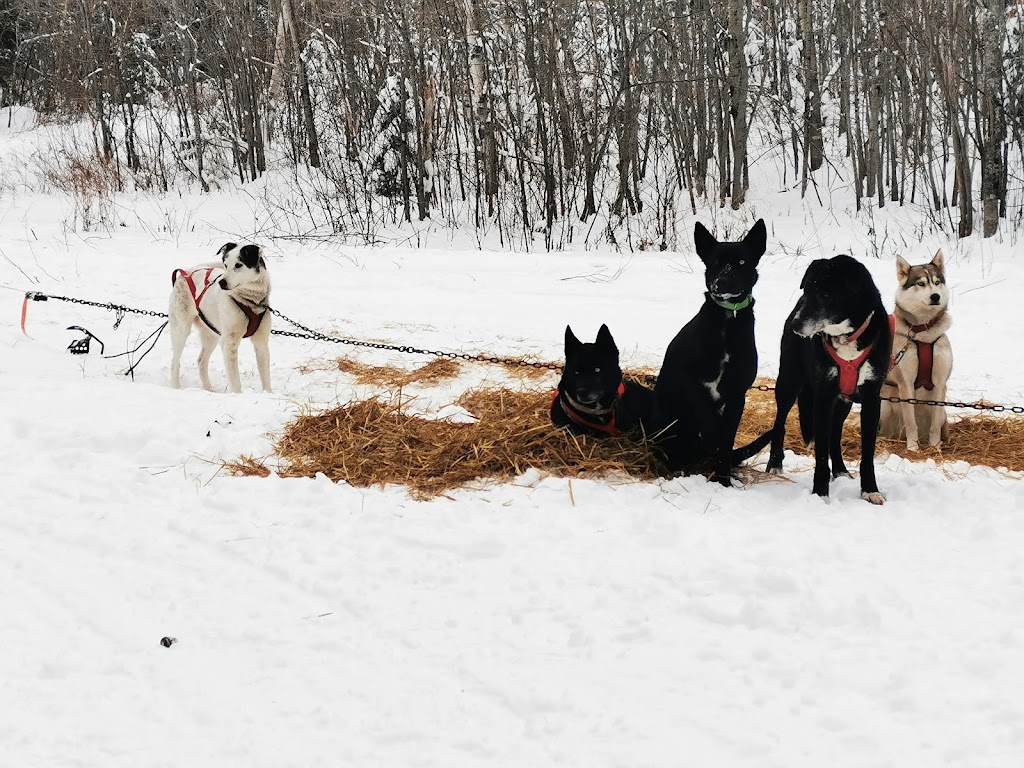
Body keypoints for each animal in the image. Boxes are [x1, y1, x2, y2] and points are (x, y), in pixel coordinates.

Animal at [167, 241, 272, 397]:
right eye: (225, 265)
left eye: (238, 265)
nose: (221, 283)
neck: (250, 300)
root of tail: (185, 273)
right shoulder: (229, 343)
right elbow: (235, 382)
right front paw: (237, 395)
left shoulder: (261, 343)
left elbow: (266, 378)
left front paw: (268, 394)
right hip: (181, 330)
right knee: (175, 361)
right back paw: (175, 388)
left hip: (212, 335)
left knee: (201, 361)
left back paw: (208, 389)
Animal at [765, 252, 892, 505]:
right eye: (806, 290)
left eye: (825, 294)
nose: (796, 324)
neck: (846, 338)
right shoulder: (823, 396)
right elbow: (821, 455)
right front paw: (820, 494)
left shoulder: (872, 399)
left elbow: (867, 454)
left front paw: (869, 490)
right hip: (788, 383)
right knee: (780, 423)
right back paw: (774, 464)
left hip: (844, 400)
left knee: (835, 433)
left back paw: (841, 471)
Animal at [876, 249, 954, 450]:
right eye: (921, 283)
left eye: (937, 282)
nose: (935, 296)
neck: (923, 333)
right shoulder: (906, 384)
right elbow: (911, 422)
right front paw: (912, 448)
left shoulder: (940, 383)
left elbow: (934, 424)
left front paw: (935, 447)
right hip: (884, 406)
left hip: (944, 412)